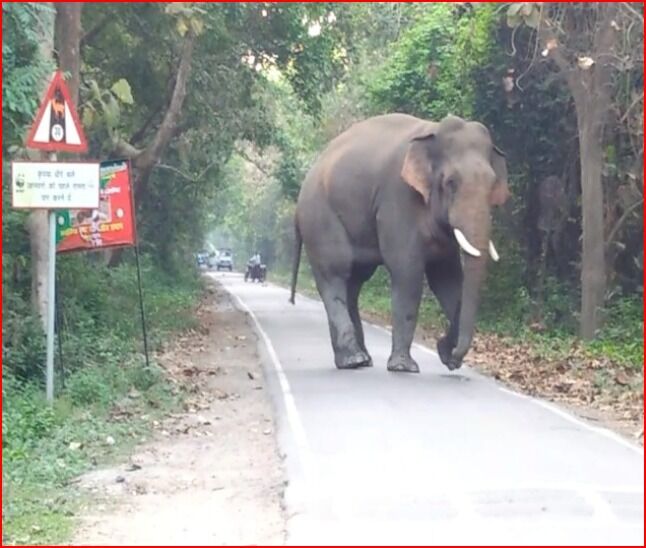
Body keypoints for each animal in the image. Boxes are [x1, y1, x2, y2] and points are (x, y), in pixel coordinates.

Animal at [290, 114, 512, 374]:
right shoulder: (397, 199)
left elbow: (447, 278)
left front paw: (447, 356)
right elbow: (408, 273)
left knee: (354, 282)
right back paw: (352, 360)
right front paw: (404, 367)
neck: (433, 131)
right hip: (320, 217)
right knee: (335, 274)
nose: (450, 354)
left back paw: (362, 359)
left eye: (492, 183)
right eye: (451, 182)